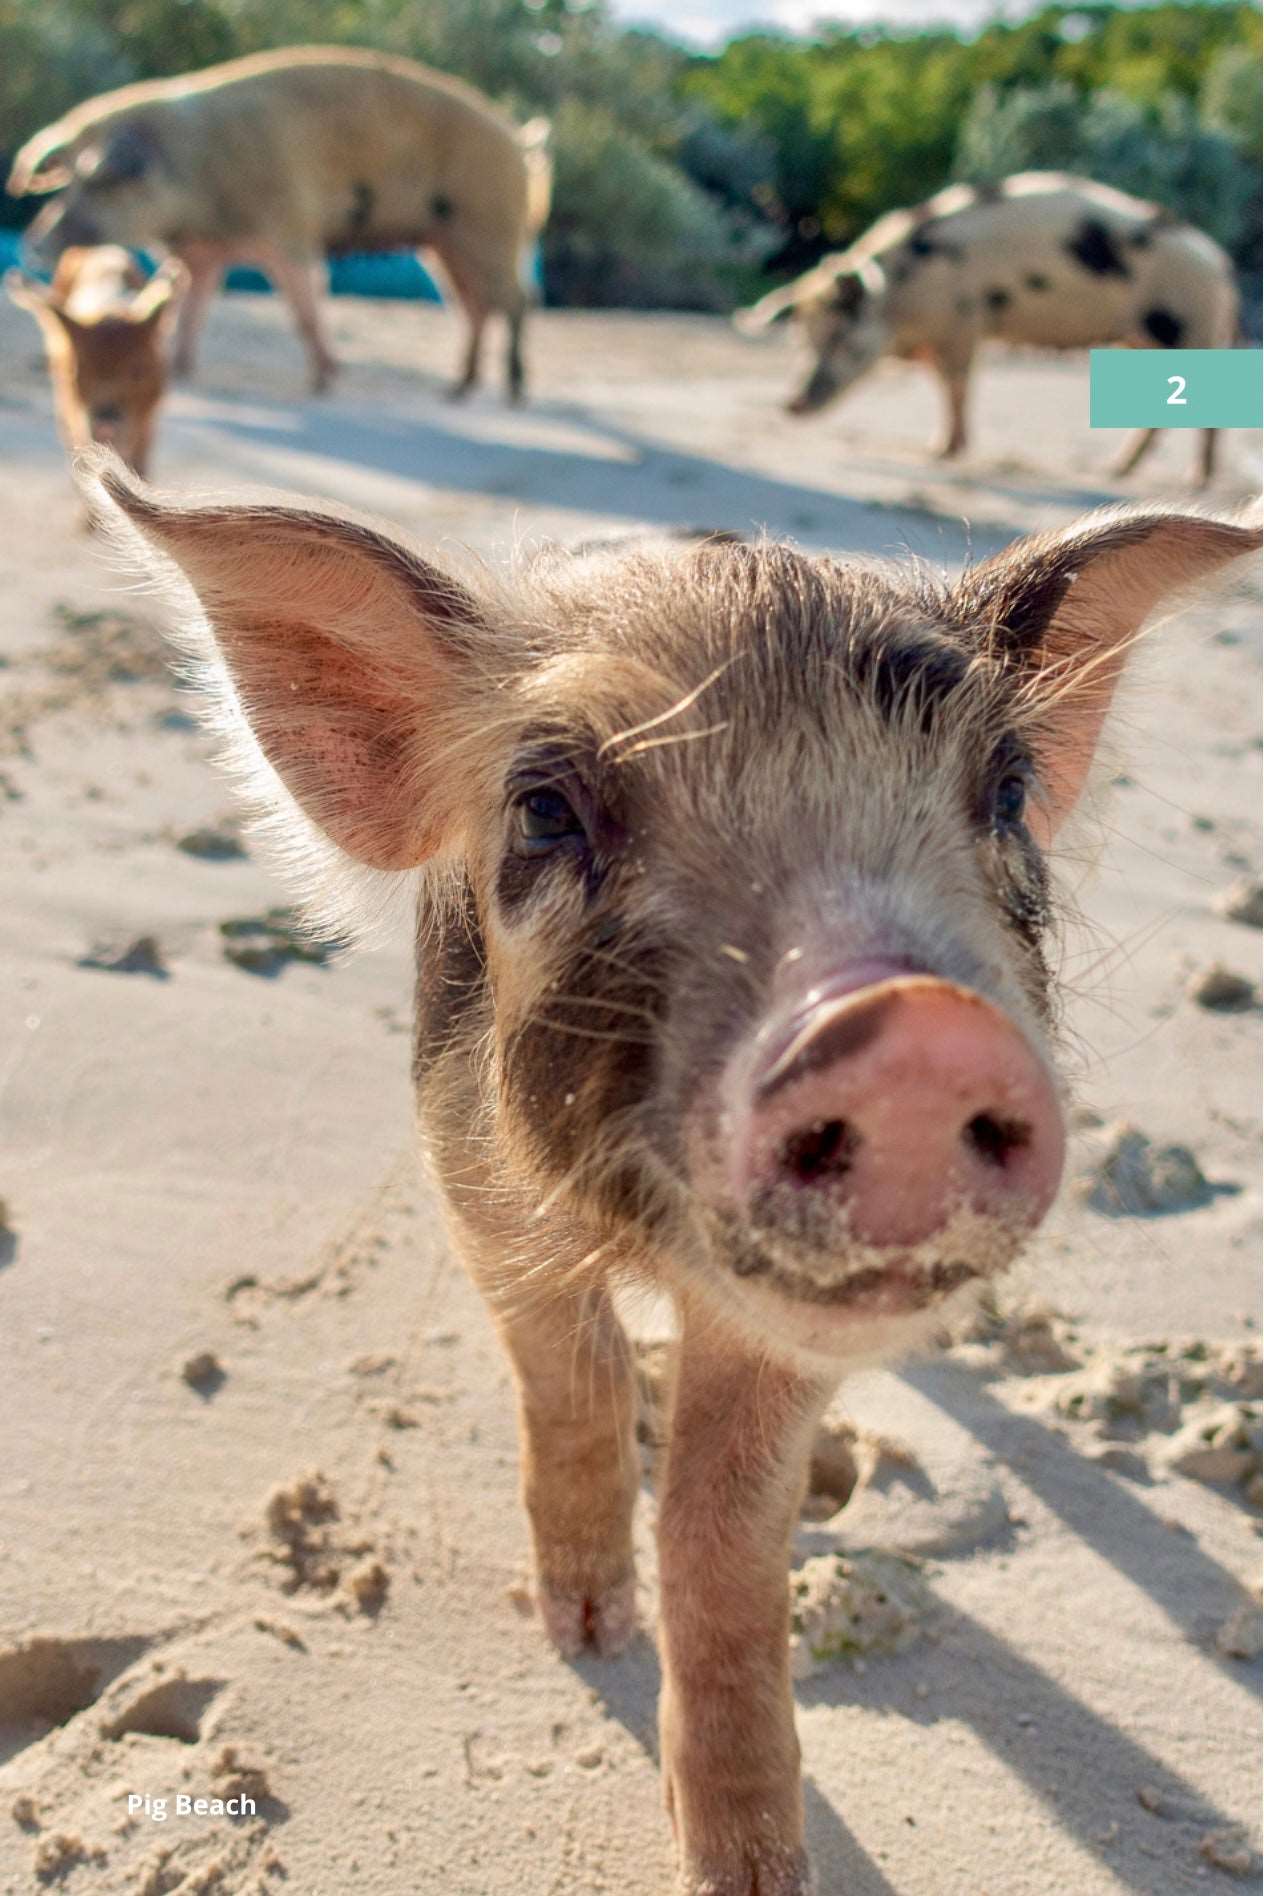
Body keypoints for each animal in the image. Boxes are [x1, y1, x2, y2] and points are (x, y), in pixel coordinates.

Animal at [8, 46, 552, 400]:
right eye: (68, 180)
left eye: (99, 180)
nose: (34, 243)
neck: (196, 170)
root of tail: (517, 137)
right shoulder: (202, 252)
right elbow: (192, 310)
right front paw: (181, 372)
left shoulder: (288, 229)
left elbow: (304, 305)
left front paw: (323, 382)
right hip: (442, 241)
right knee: (473, 306)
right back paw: (458, 388)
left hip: (489, 222)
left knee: (516, 300)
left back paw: (513, 390)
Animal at [89, 454, 1258, 1894]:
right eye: (545, 806)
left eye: (1004, 787)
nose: (915, 1030)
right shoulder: (471, 1183)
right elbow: (570, 1376)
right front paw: (583, 1633)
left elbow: (723, 1527)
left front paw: (752, 1870)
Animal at [738, 172, 1240, 483]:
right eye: (802, 338)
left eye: (842, 338)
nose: (791, 403)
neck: (900, 297)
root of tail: (1219, 261)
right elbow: (944, 388)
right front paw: (941, 448)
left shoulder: (962, 323)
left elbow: (954, 387)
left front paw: (942, 452)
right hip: (1145, 341)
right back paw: (1117, 471)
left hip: (1189, 328)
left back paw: (1191, 479)